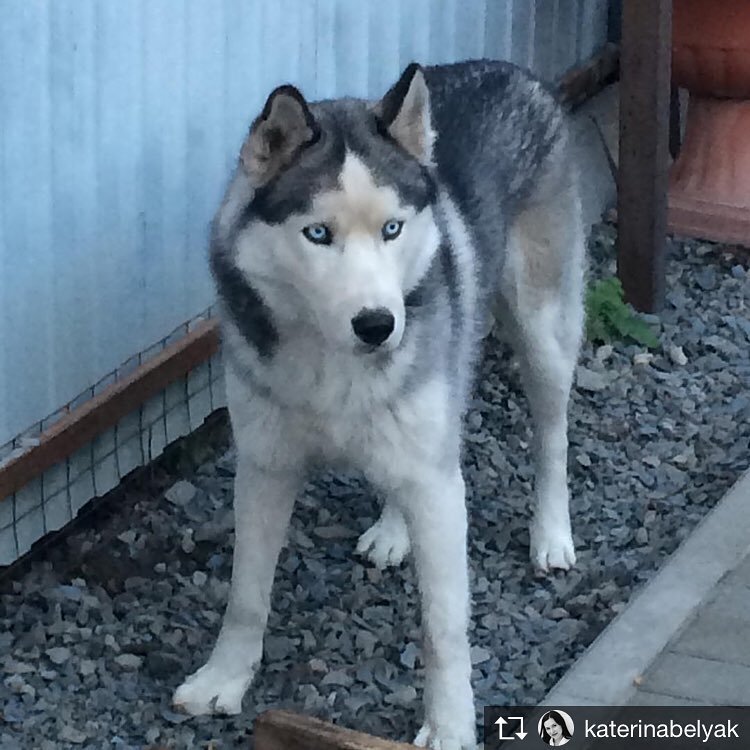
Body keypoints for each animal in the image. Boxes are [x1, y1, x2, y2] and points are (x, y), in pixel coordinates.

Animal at [173, 60, 584, 750]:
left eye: (392, 228)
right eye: (318, 234)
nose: (378, 325)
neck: (329, 362)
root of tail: (510, 69)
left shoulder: (437, 485)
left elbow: (443, 628)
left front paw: (449, 726)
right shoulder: (264, 467)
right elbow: (246, 595)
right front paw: (223, 679)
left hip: (541, 330)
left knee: (552, 437)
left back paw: (551, 533)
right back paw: (394, 531)